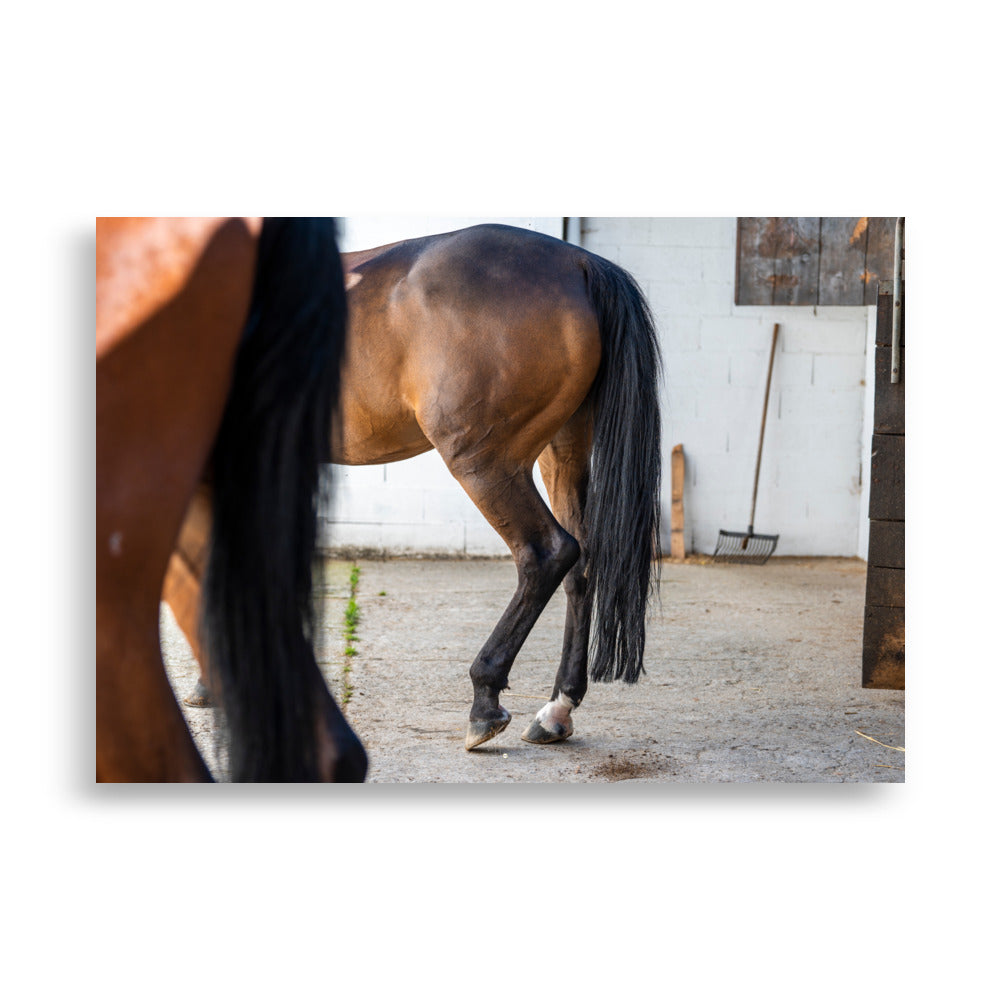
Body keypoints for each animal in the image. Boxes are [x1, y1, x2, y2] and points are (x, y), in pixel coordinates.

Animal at [166, 225, 664, 752]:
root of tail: (578, 263)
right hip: (562, 453)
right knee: (582, 565)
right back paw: (555, 711)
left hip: (485, 462)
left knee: (546, 554)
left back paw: (485, 700)